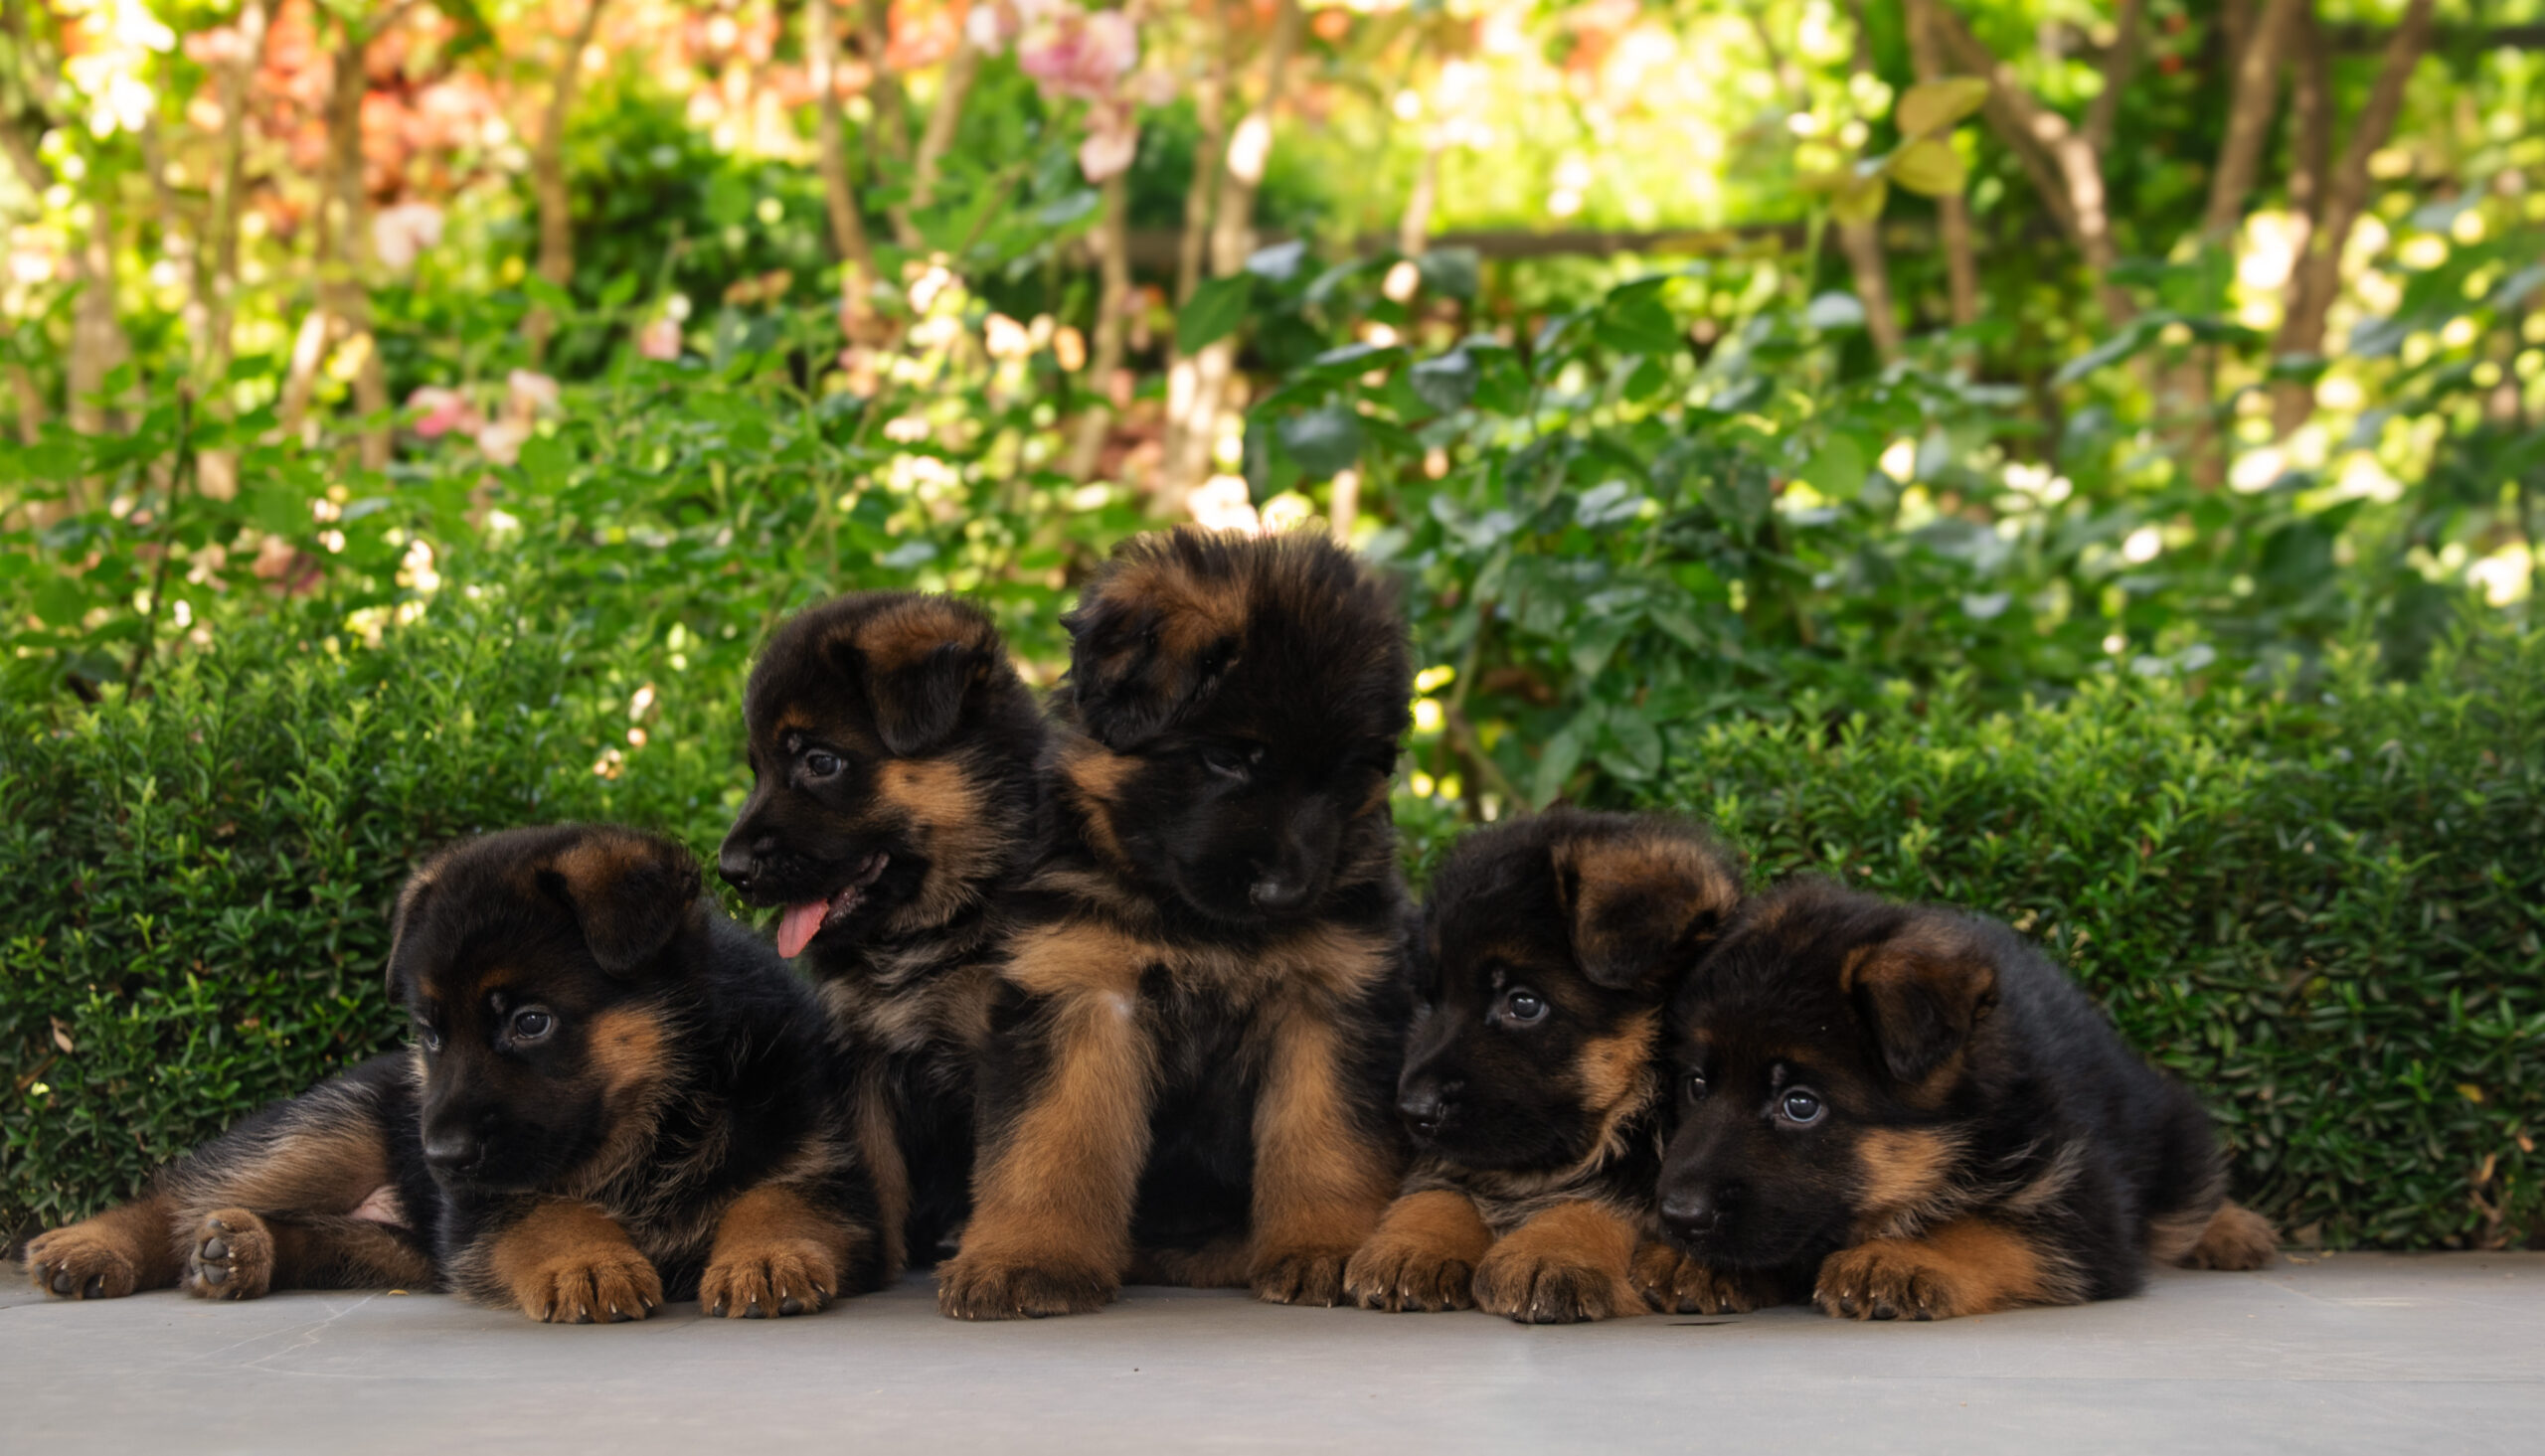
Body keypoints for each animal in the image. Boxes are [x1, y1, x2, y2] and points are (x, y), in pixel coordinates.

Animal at [20, 829, 885, 1323]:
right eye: (430, 1034)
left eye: (529, 1021)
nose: (439, 1156)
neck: (654, 1120)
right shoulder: (483, 1206)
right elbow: (543, 1209)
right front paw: (589, 1258)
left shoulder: (821, 1163)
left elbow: (776, 1193)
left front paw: (765, 1252)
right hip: (330, 1134)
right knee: (179, 1190)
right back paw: (92, 1247)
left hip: (404, 1242)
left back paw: (242, 1249)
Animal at [717, 587, 1043, 1272]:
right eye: (757, 769)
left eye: (820, 761)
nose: (729, 871)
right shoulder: (858, 1058)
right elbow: (877, 1174)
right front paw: (877, 1263)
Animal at [931, 527, 1415, 1323]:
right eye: (1226, 757)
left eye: (1346, 771)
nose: (1287, 892)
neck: (1197, 926)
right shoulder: (1081, 989)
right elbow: (1051, 1138)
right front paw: (1028, 1258)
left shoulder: (1327, 1001)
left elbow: (1325, 1137)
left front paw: (1326, 1246)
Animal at [1353, 814, 1751, 1323]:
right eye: (1431, 1000)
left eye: (1524, 1004)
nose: (1412, 1111)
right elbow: (1440, 1188)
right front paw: (1413, 1244)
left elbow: (1598, 1202)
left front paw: (1553, 1251)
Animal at [1648, 876, 2290, 1323]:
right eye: (1697, 1086)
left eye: (1800, 1105)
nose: (1677, 1216)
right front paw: (1698, 1263)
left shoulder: (2082, 1208)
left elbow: (1985, 1228)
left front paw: (1901, 1255)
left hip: (2169, 1133)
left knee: (2184, 1204)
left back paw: (2234, 1228)